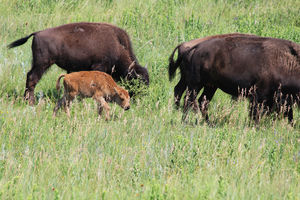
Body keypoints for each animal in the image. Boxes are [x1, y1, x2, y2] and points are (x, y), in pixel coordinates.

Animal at [8, 22, 149, 104]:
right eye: (138, 81)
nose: (141, 98)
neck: (117, 46)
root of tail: (36, 33)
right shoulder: (99, 66)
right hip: (42, 64)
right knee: (32, 78)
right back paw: (30, 102)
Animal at [169, 34, 300, 123]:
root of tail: (195, 48)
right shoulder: (259, 96)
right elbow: (255, 112)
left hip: (210, 86)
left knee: (200, 101)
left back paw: (208, 122)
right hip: (196, 84)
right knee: (189, 99)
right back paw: (186, 121)